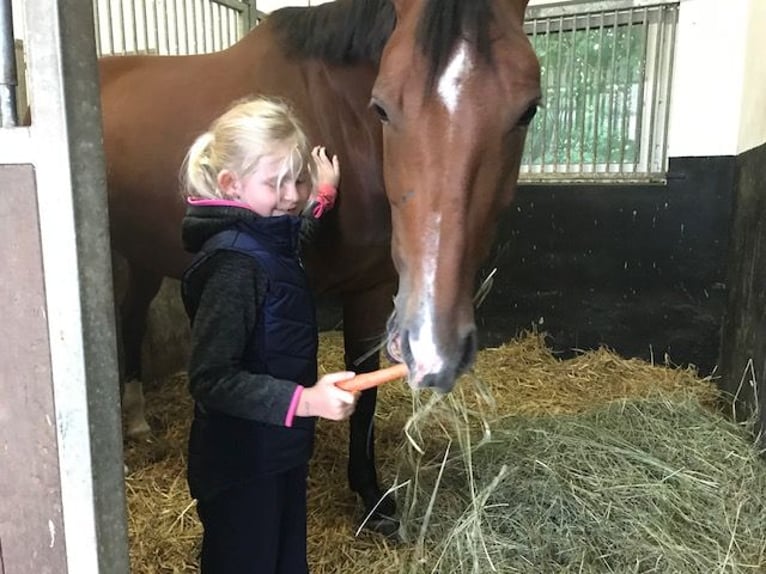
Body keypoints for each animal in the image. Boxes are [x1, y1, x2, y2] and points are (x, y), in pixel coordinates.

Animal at [99, 0, 540, 529]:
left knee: (132, 317)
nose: (436, 349)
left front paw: (372, 498)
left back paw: (137, 420)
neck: (339, 120)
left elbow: (364, 391)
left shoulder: (373, 290)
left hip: (141, 252)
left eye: (528, 109)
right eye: (382, 107)